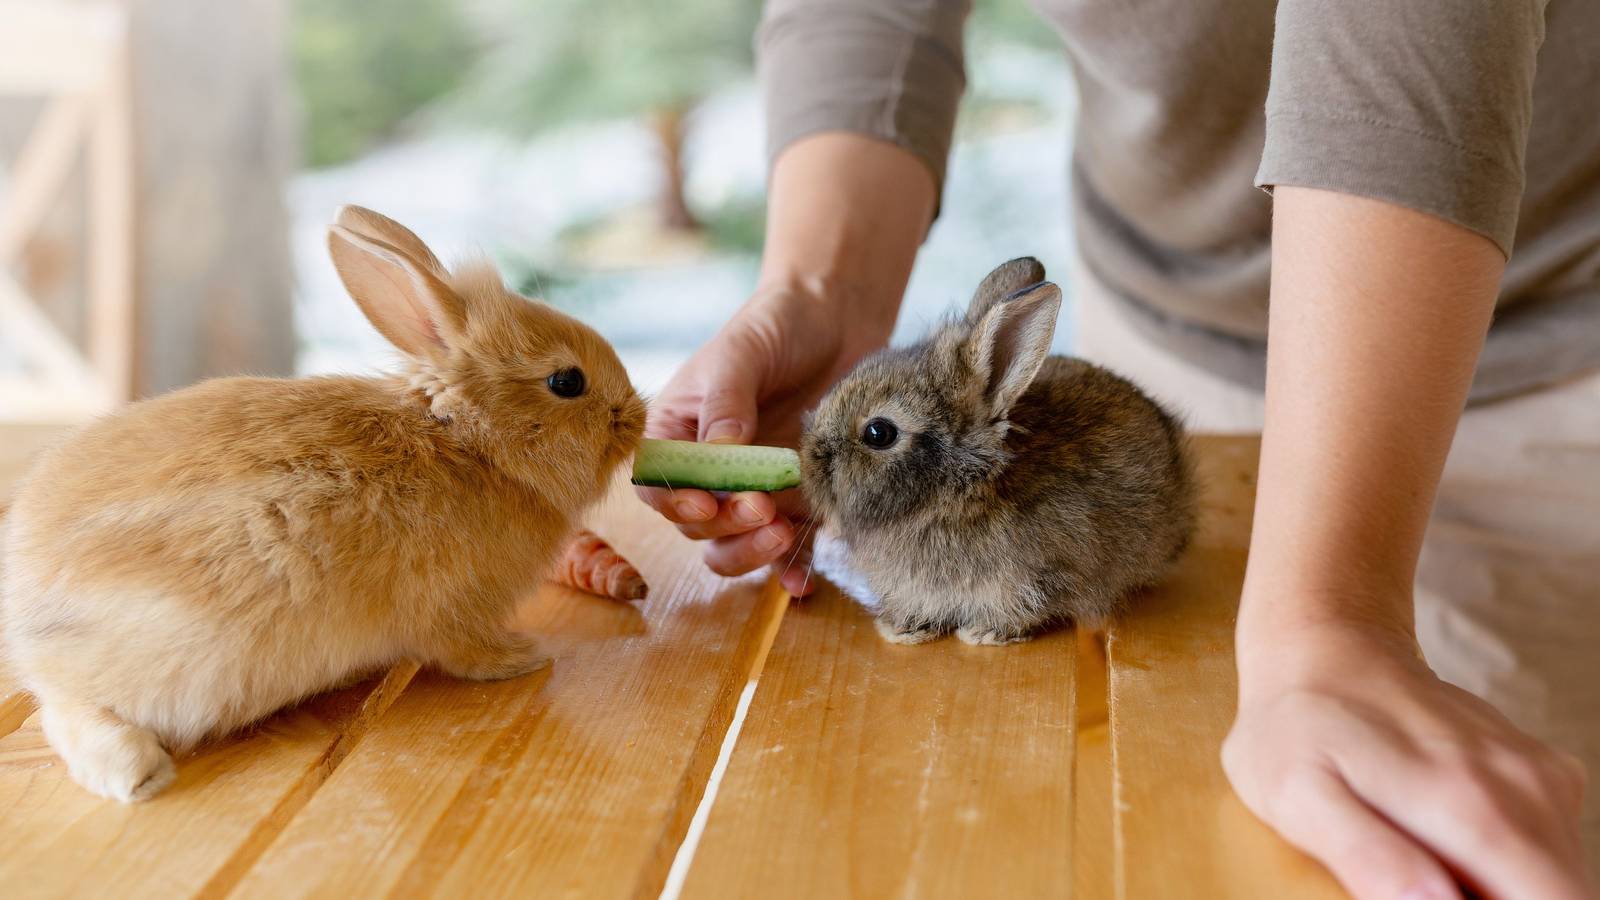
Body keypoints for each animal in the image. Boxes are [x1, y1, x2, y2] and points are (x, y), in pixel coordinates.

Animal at [0, 206, 646, 802]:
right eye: (567, 382)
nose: (637, 416)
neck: (470, 443)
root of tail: (27, 612)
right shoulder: (453, 609)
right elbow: (466, 652)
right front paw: (525, 657)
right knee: (66, 709)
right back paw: (137, 773)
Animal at [799, 257, 1196, 646]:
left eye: (878, 433)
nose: (808, 462)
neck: (961, 489)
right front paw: (903, 628)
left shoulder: (1041, 577)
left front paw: (984, 633)